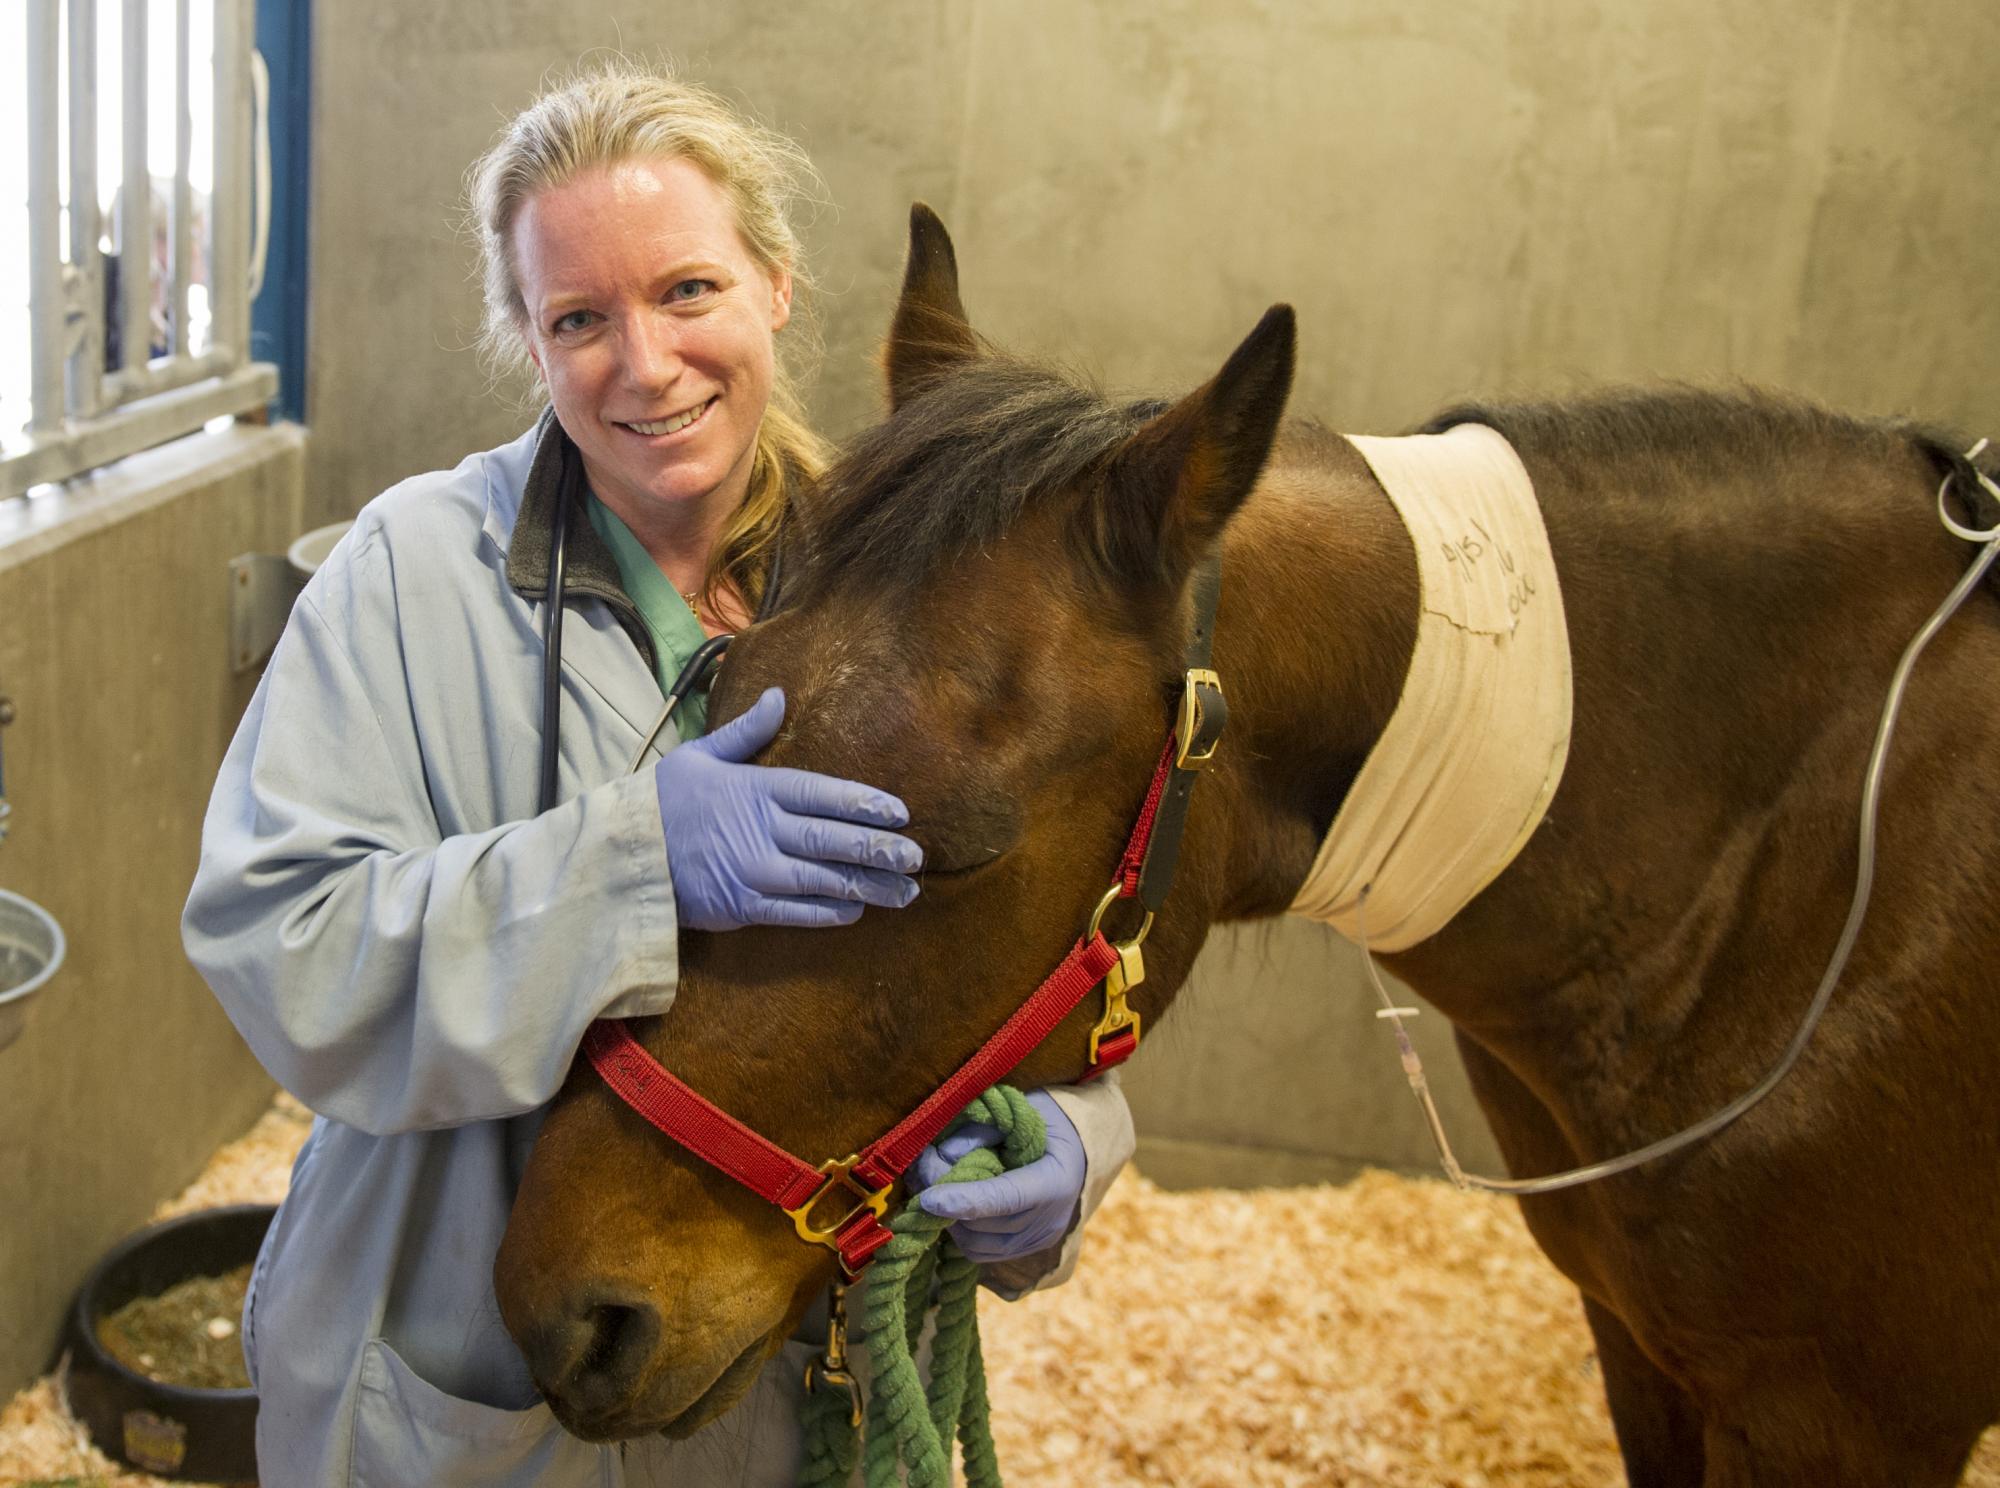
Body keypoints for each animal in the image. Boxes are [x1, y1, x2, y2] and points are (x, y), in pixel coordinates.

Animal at [496, 203, 2000, 1480]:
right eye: (728, 690)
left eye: (963, 850)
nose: (567, 1309)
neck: (1778, 875)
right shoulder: (1643, 1352)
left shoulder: (1832, 1421)